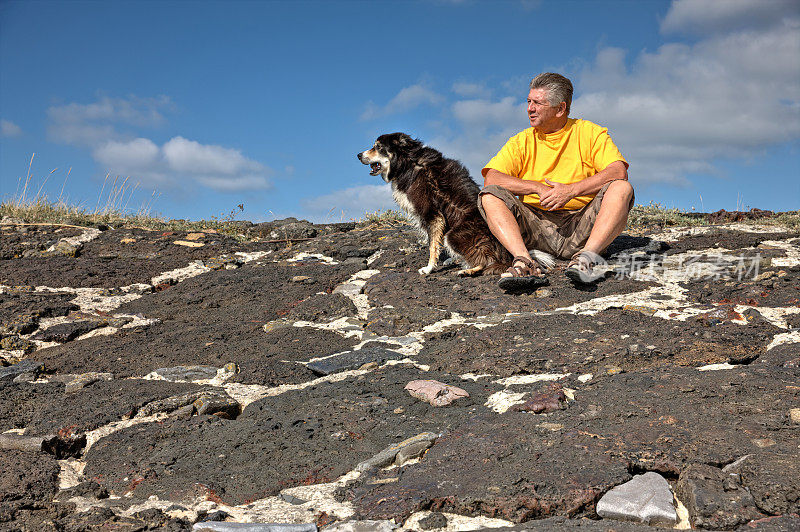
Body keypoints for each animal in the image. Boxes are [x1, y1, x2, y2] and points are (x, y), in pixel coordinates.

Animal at [360, 132, 552, 276]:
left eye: (378, 147)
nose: (358, 155)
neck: (408, 162)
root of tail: (508, 253)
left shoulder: (432, 214)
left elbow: (432, 246)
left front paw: (429, 268)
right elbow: (435, 244)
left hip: (453, 235)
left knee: (488, 261)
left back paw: (468, 270)